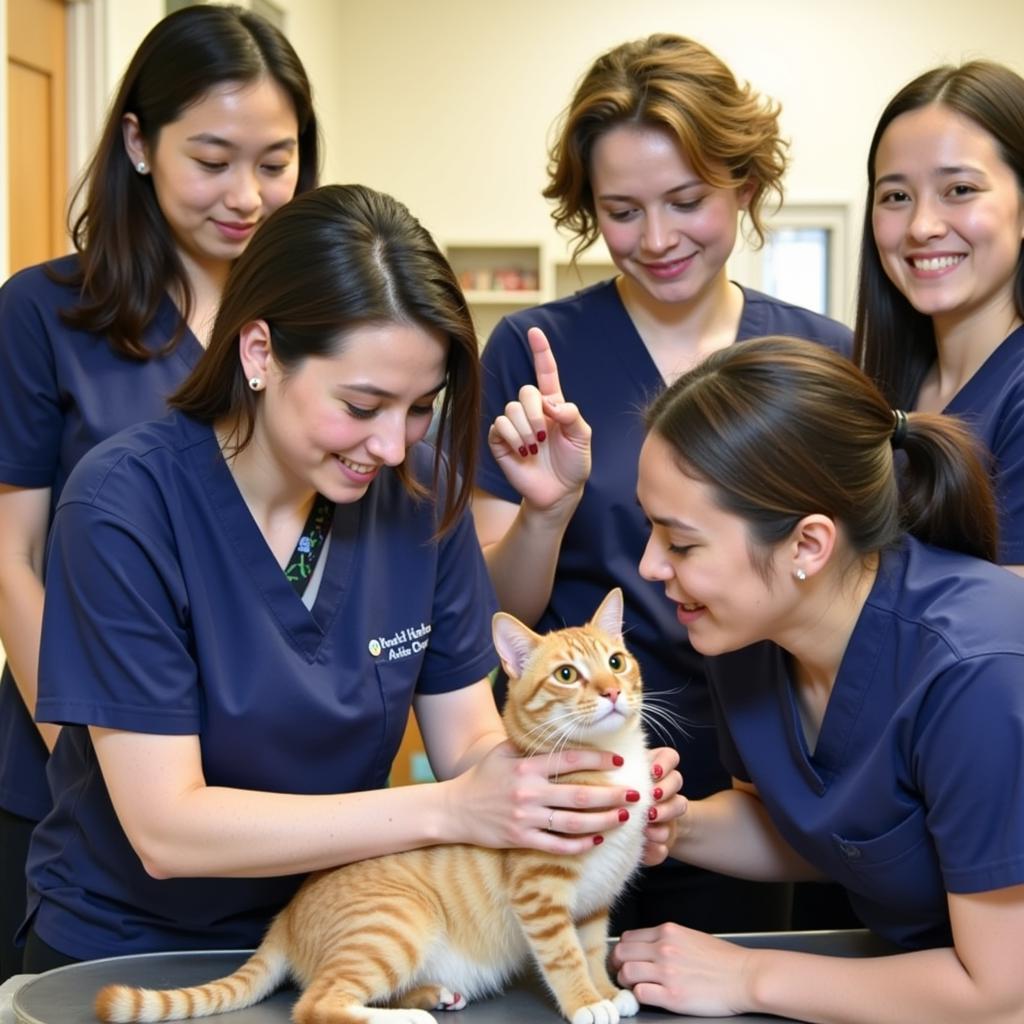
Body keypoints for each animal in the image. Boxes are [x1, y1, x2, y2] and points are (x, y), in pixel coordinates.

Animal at [92, 589, 647, 1024]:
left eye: (616, 663)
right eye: (567, 674)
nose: (611, 692)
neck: (608, 759)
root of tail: (284, 919)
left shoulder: (593, 904)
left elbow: (591, 949)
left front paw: (607, 991)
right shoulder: (540, 895)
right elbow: (565, 956)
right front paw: (584, 1002)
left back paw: (432, 994)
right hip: (393, 927)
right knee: (316, 1005)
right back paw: (408, 1017)